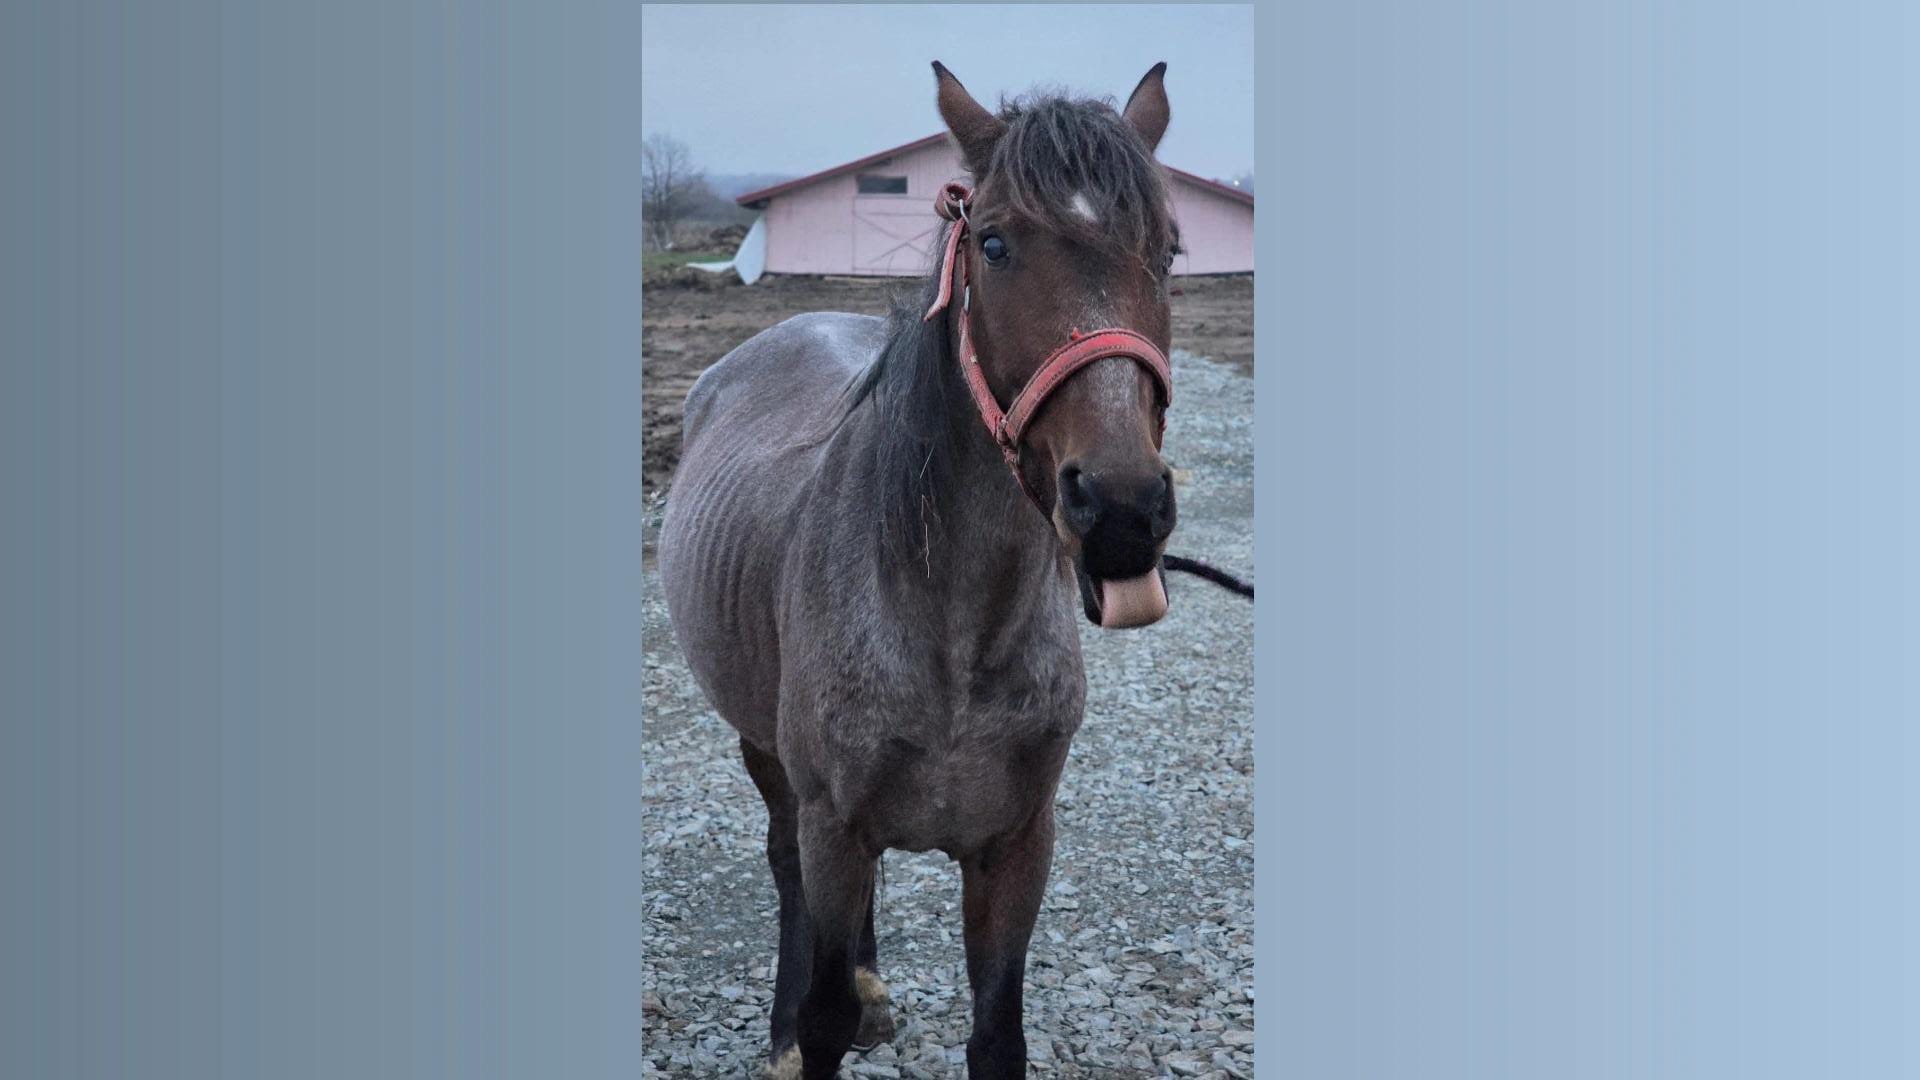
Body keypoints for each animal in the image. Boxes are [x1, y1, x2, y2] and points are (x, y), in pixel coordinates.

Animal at [659, 61, 1190, 1079]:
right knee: (784, 864)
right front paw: (807, 1031)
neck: (953, 632)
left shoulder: (1018, 844)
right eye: (994, 244)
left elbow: (996, 1032)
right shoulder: (832, 822)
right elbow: (824, 1004)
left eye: (1171, 252)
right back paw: (787, 1030)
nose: (1122, 512)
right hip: (765, 755)